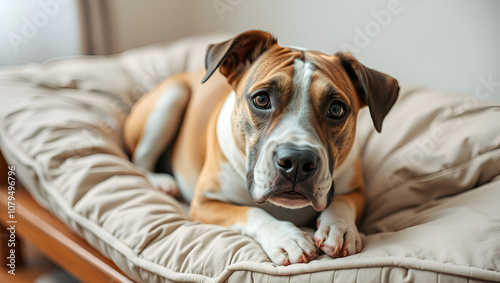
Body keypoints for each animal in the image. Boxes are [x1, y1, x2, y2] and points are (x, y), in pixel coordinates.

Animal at [124, 30, 398, 266]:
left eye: (336, 109)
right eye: (262, 99)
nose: (297, 161)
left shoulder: (357, 190)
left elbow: (342, 203)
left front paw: (340, 229)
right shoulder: (204, 203)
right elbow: (251, 213)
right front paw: (286, 238)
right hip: (172, 97)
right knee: (138, 161)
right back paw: (161, 182)